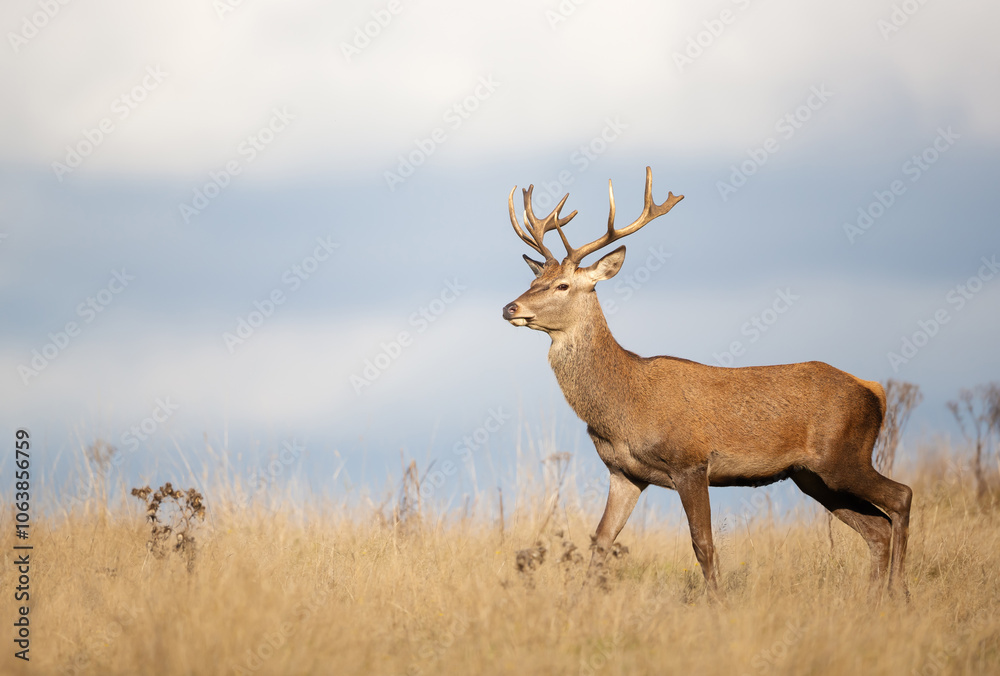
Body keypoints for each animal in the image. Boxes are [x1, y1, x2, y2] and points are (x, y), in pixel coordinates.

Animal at [501, 166, 912, 598]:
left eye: (562, 285)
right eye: (534, 280)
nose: (510, 307)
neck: (624, 405)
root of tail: (875, 391)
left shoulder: (691, 462)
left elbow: (703, 543)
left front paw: (716, 602)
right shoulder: (623, 473)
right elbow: (601, 540)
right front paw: (582, 599)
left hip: (842, 457)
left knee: (901, 497)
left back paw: (899, 591)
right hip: (812, 476)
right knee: (876, 528)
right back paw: (874, 596)